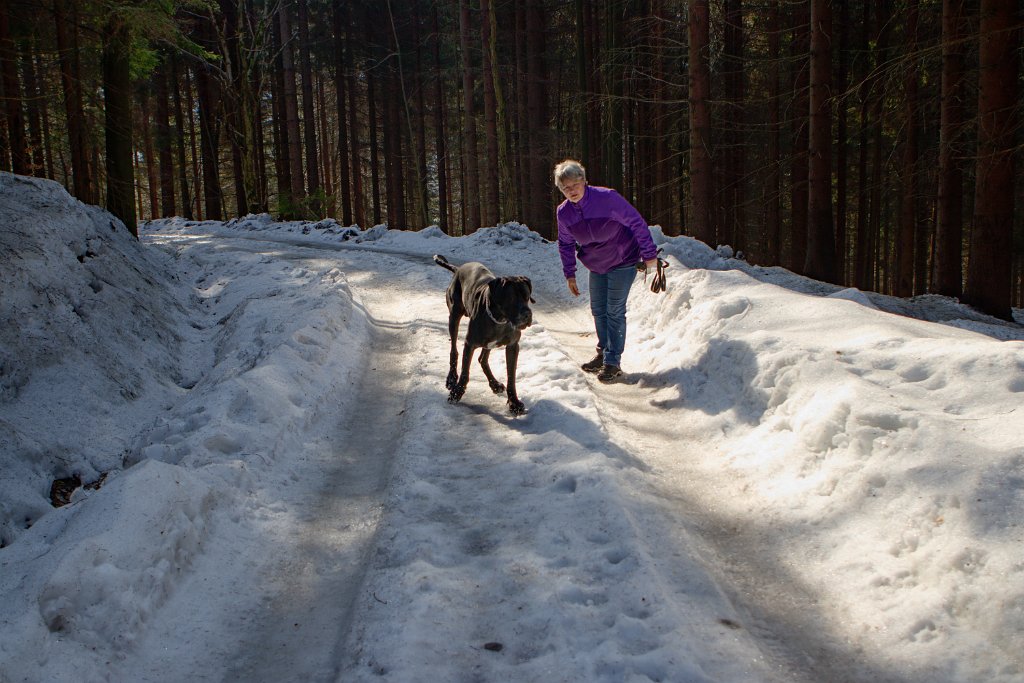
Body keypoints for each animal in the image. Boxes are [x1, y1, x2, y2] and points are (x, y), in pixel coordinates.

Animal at [434, 253, 536, 417]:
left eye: (527, 296)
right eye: (511, 298)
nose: (527, 315)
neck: (500, 320)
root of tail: (459, 268)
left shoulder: (513, 346)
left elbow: (511, 377)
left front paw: (514, 403)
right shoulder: (470, 344)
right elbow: (465, 372)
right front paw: (456, 393)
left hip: (488, 343)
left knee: (482, 359)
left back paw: (494, 384)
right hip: (454, 317)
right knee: (454, 350)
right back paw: (451, 378)